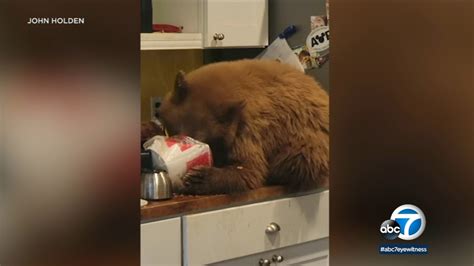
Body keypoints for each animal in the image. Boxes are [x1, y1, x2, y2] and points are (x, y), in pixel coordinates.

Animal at [157, 59, 328, 194]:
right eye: (174, 132)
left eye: (200, 139)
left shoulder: (247, 128)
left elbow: (249, 170)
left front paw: (197, 178)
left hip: (308, 141)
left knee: (299, 160)